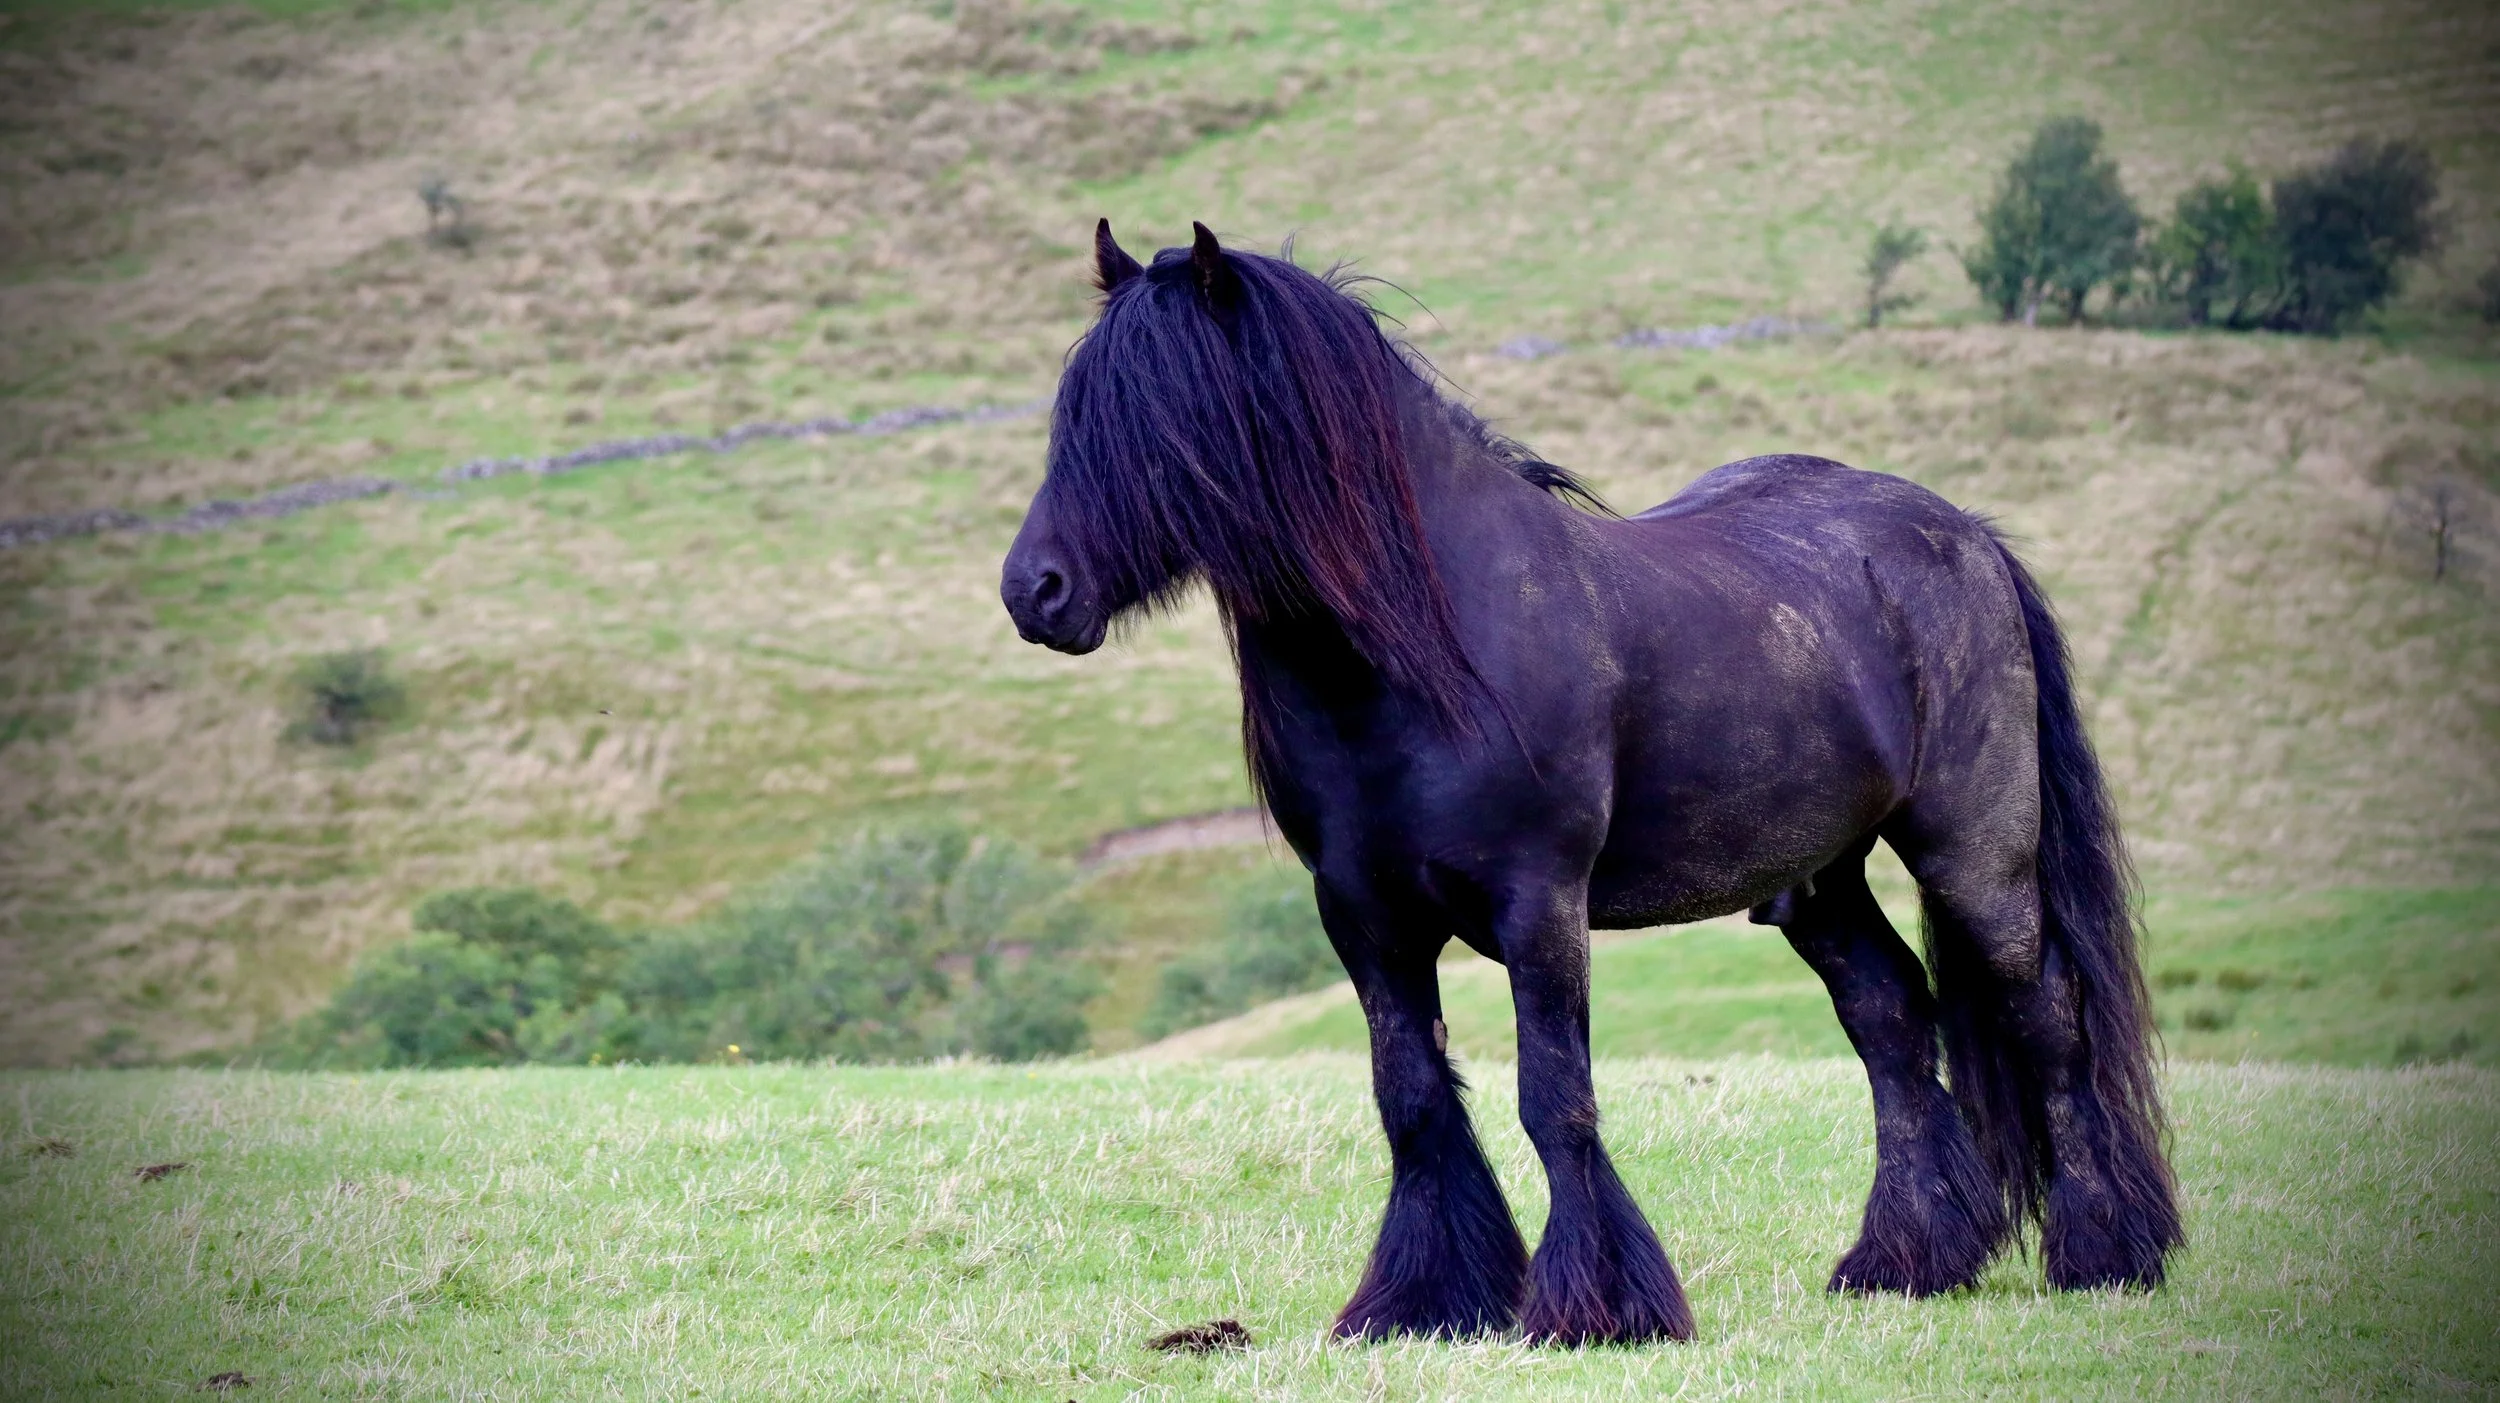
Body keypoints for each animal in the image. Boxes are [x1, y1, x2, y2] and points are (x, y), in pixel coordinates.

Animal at [1000, 221, 2180, 1344]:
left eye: (1163, 423)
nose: (1033, 590)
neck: (1428, 646)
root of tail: (1969, 536)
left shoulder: (1538, 901)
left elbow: (1553, 1098)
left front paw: (1599, 1306)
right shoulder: (1364, 916)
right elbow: (1412, 1099)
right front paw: (1425, 1298)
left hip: (1975, 855)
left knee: (2045, 1017)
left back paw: (2103, 1249)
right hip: (1820, 880)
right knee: (1891, 1018)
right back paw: (1904, 1261)